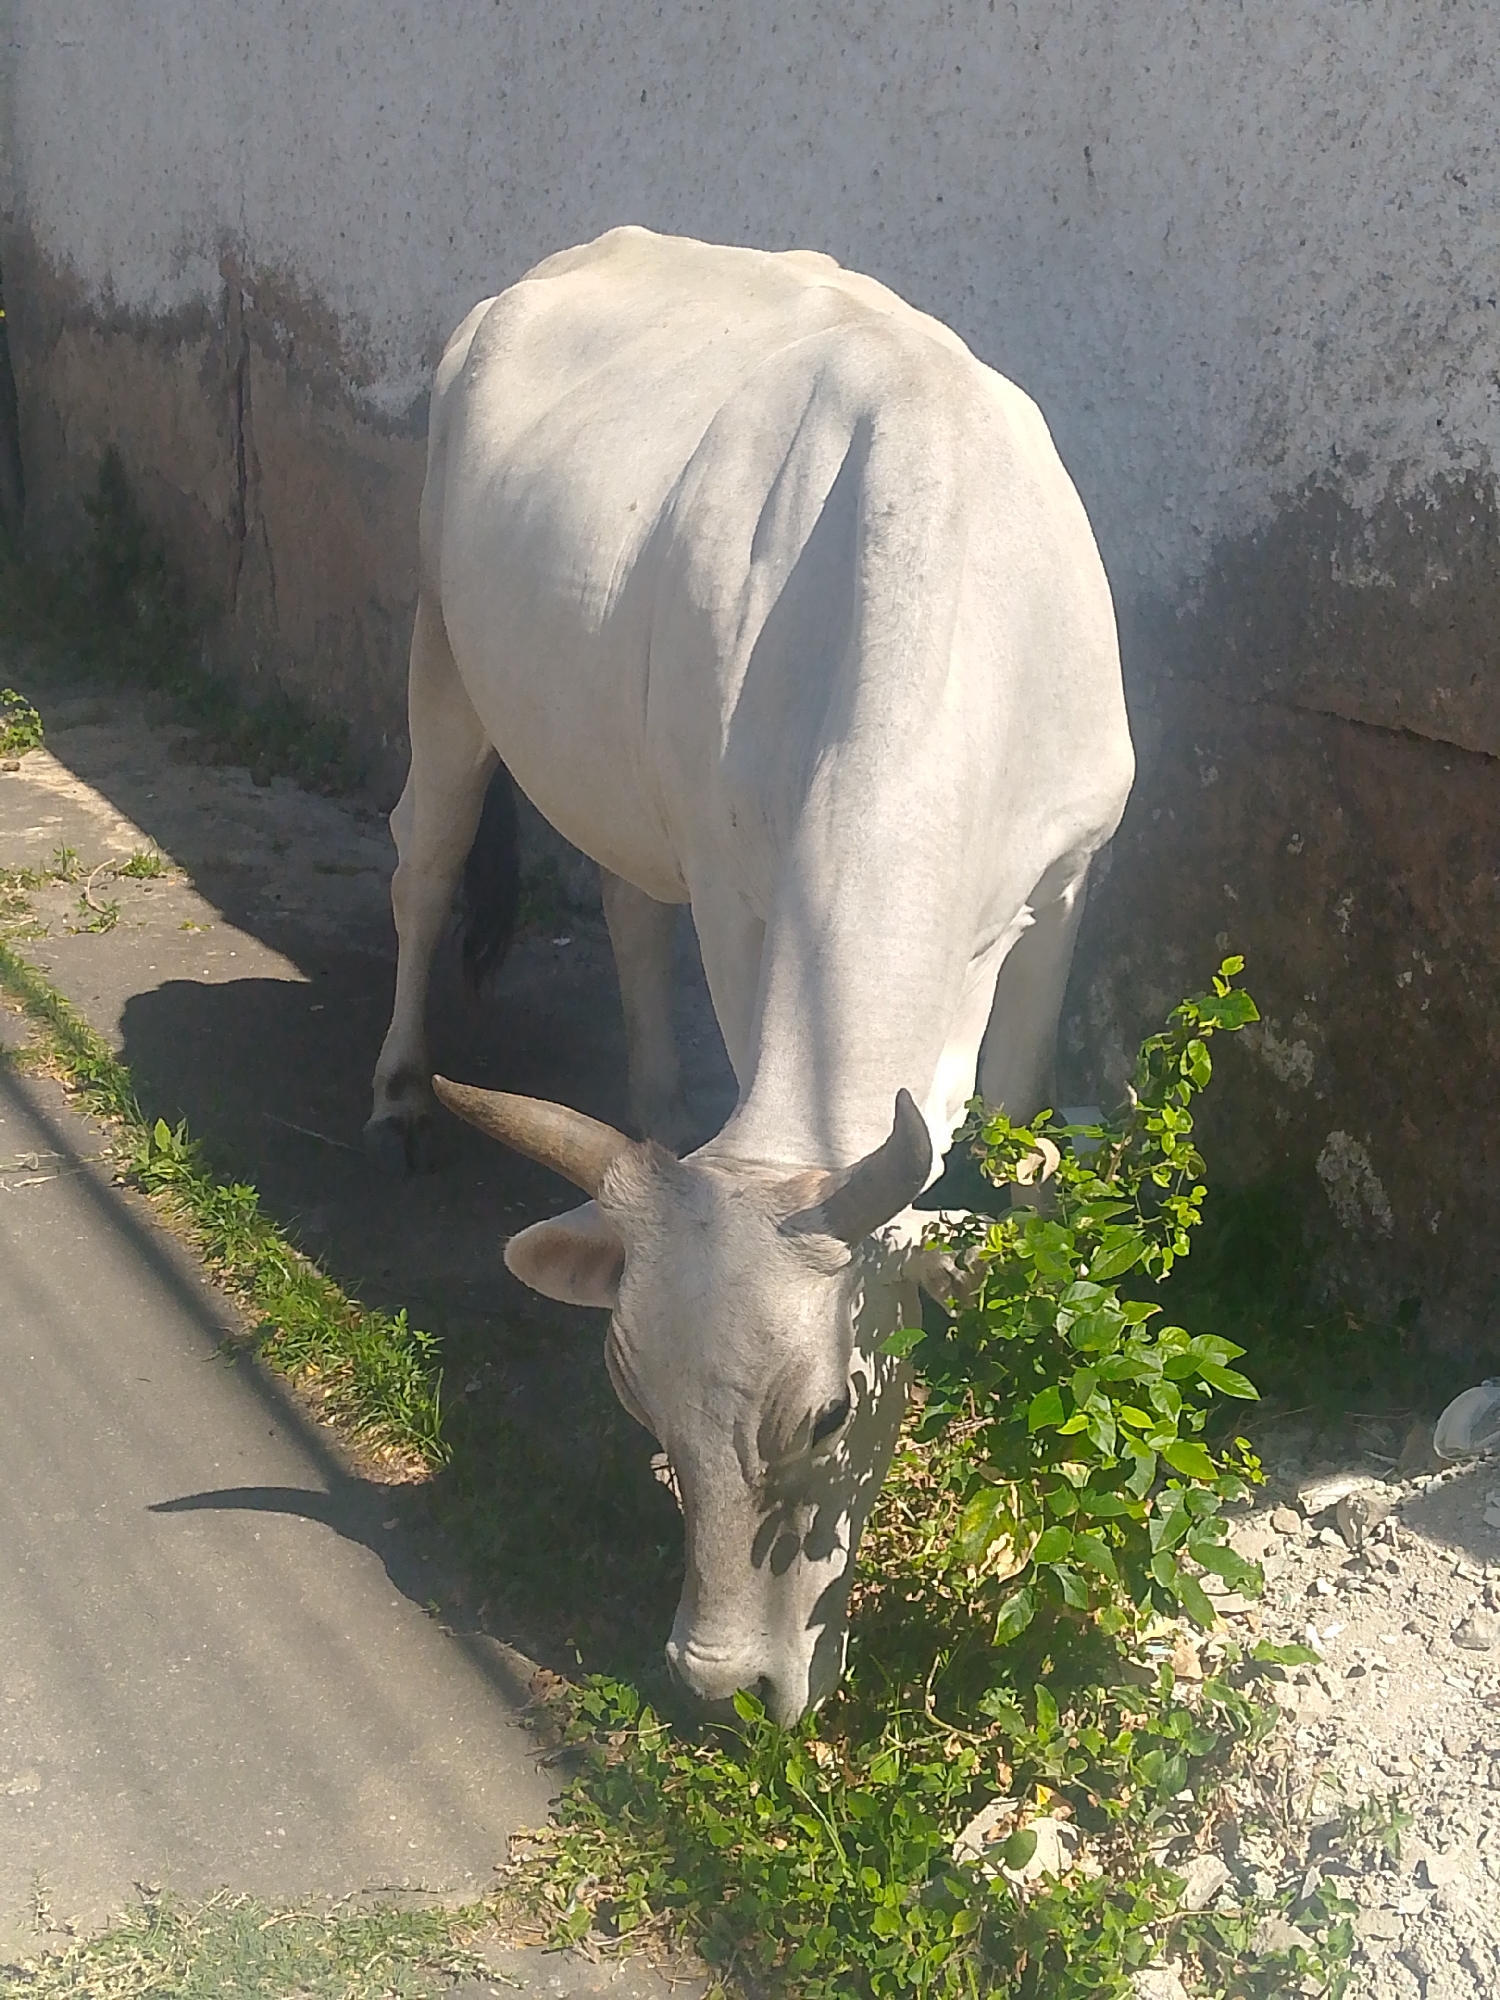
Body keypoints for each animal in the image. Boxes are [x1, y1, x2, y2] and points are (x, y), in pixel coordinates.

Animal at [365, 228, 1134, 1725]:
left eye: (828, 1412)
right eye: (638, 1407)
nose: (716, 1681)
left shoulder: (1072, 877)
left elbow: (1020, 1145)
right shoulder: (740, 882)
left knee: (620, 901)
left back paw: (658, 1114)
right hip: (442, 641)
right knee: (424, 858)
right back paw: (405, 1093)